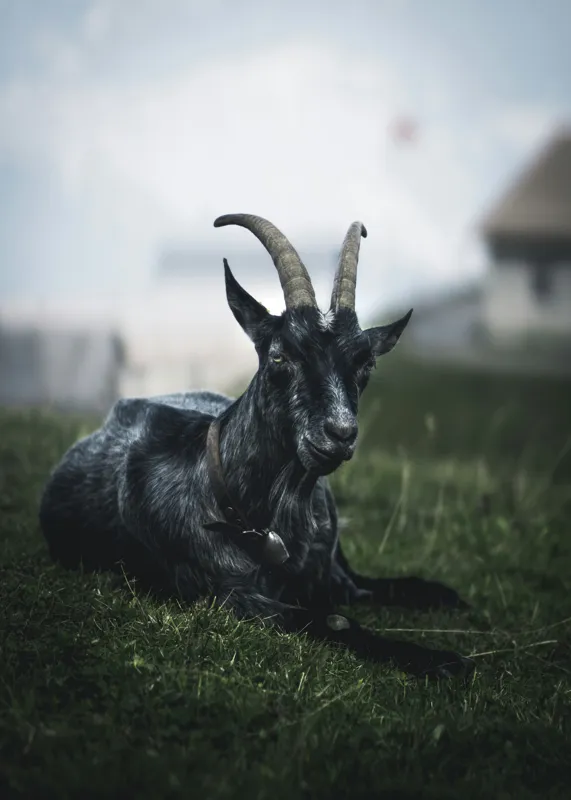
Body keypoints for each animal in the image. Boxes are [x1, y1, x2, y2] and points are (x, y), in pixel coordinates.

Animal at [39, 214, 475, 680]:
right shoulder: (227, 595)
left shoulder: (330, 577)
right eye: (281, 355)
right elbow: (334, 620)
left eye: (366, 363)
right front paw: (440, 660)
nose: (340, 433)